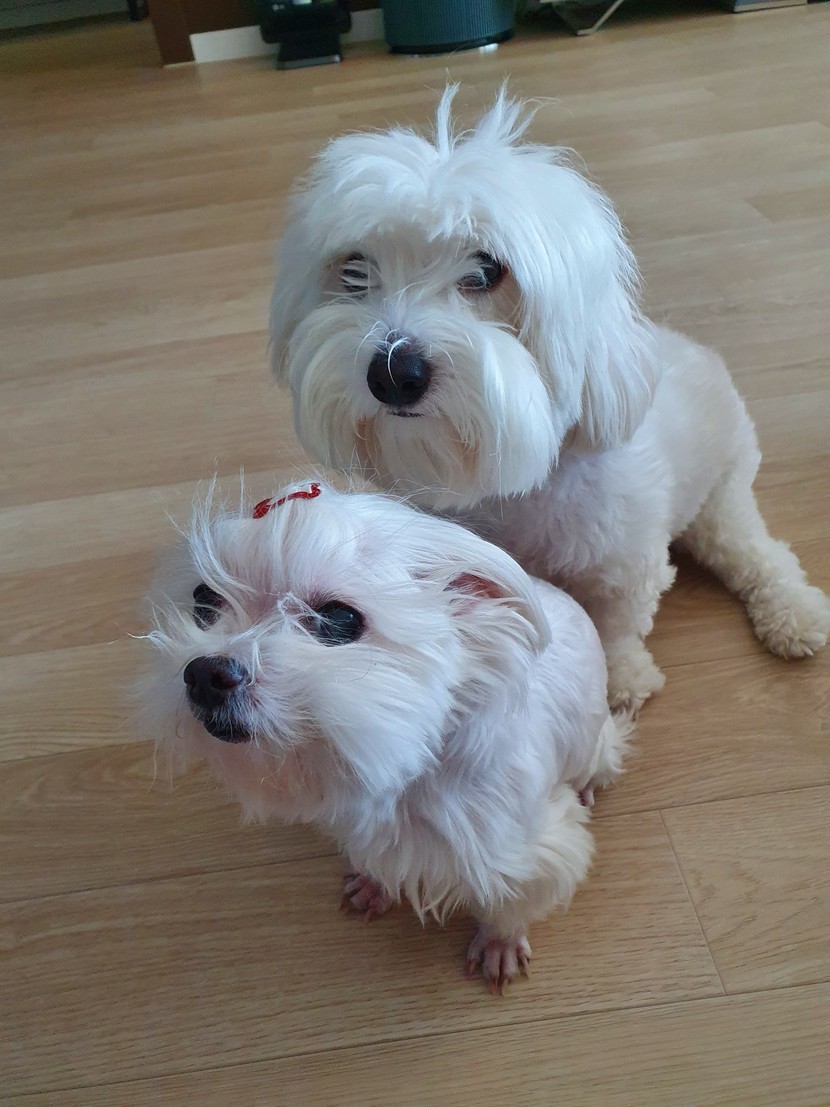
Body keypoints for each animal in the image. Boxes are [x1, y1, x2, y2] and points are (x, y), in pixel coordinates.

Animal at [142, 479, 631, 992]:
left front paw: (499, 944)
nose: (204, 675)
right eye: (203, 601)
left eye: (339, 619)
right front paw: (374, 885)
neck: (411, 770)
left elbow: (510, 903)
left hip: (596, 744)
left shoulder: (532, 850)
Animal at [269, 87, 829, 713]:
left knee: (761, 555)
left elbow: (616, 626)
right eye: (354, 269)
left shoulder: (625, 567)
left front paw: (620, 682)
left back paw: (794, 614)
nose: (393, 373)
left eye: (487, 270)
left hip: (722, 500)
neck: (514, 487)